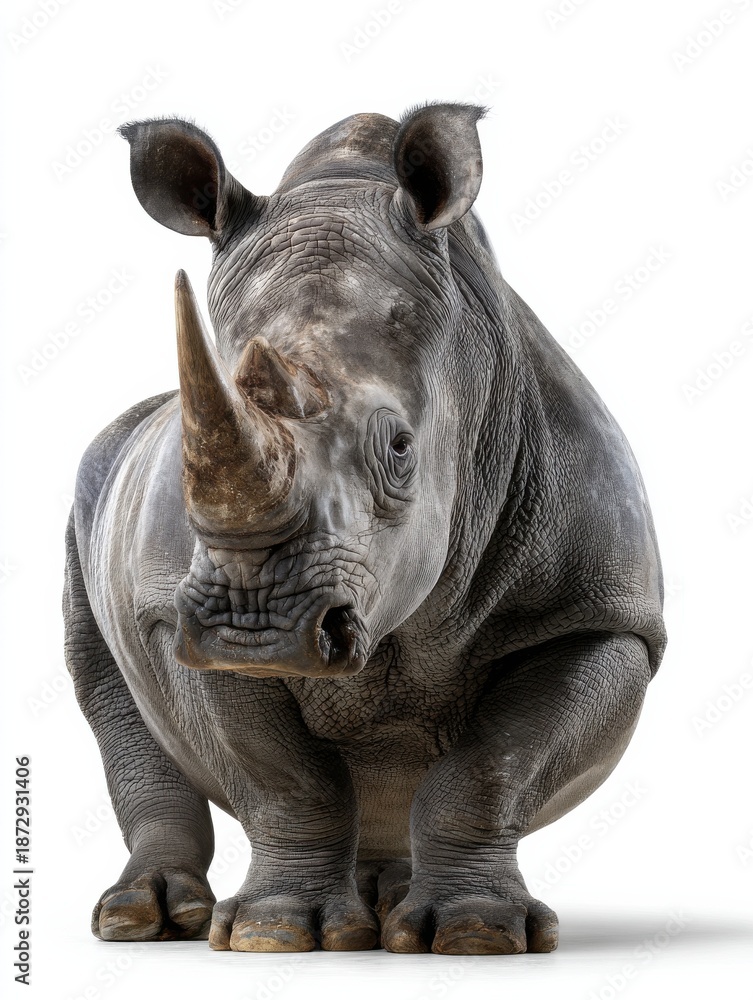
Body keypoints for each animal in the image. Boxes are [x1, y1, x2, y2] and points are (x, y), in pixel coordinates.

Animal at [63, 103, 666, 955]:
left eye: (401, 448)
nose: (257, 631)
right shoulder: (170, 611)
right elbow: (285, 780)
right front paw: (276, 933)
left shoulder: (601, 614)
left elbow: (491, 769)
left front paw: (473, 935)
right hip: (91, 493)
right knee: (113, 699)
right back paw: (142, 919)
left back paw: (390, 904)